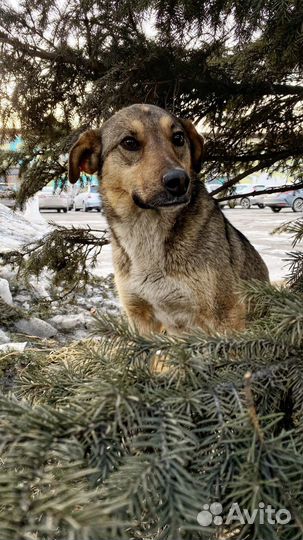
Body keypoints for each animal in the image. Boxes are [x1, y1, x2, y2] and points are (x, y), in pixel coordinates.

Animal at [68, 103, 268, 336]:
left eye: (178, 138)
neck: (147, 231)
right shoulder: (140, 318)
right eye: (129, 142)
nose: (179, 181)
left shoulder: (227, 316)